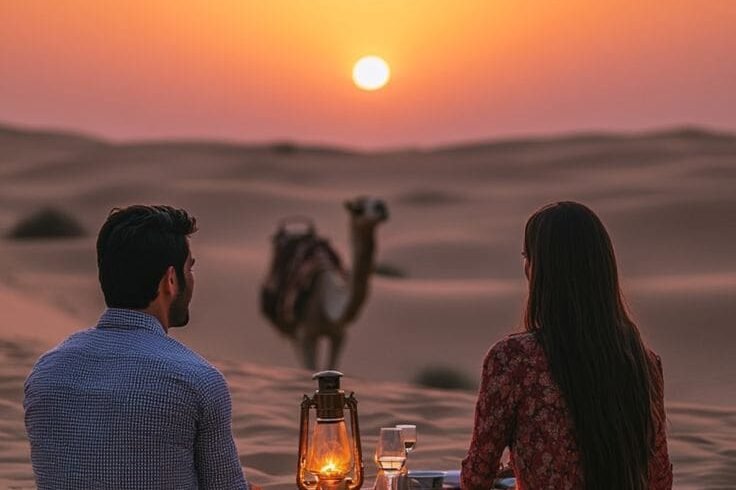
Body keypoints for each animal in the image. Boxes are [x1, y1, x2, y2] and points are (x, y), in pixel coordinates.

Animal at [262, 197, 389, 371]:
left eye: (380, 202)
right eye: (358, 209)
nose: (381, 208)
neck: (327, 302)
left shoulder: (338, 335)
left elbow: (332, 364)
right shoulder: (306, 335)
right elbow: (311, 367)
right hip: (294, 332)